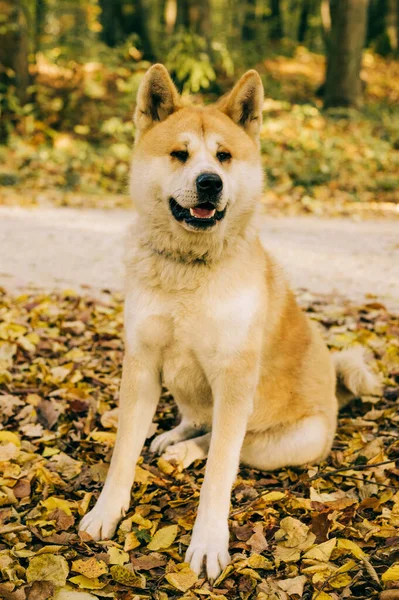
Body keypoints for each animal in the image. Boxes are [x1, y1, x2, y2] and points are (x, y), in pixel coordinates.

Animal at [80, 64, 382, 580]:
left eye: (223, 156)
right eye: (180, 154)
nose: (210, 182)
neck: (190, 269)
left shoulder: (234, 380)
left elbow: (220, 469)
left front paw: (207, 541)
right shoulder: (142, 367)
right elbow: (123, 453)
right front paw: (107, 511)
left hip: (282, 442)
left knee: (227, 442)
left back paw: (185, 450)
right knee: (195, 419)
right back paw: (173, 438)